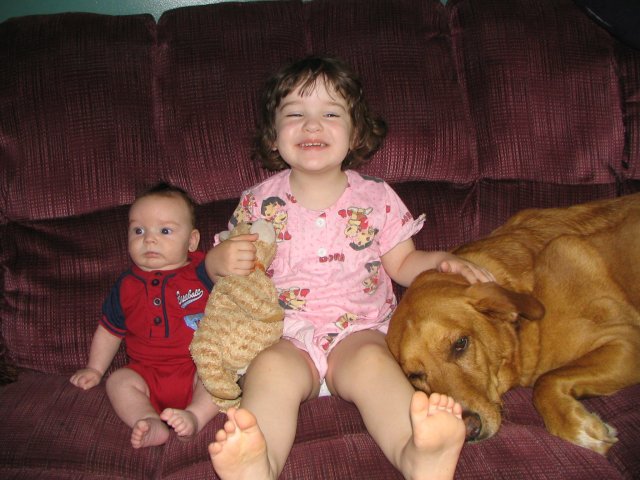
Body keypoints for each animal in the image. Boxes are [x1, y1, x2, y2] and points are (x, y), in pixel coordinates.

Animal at [387, 193, 640, 455]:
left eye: (460, 344)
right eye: (415, 375)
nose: (467, 430)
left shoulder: (626, 341)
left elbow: (544, 381)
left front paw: (579, 428)